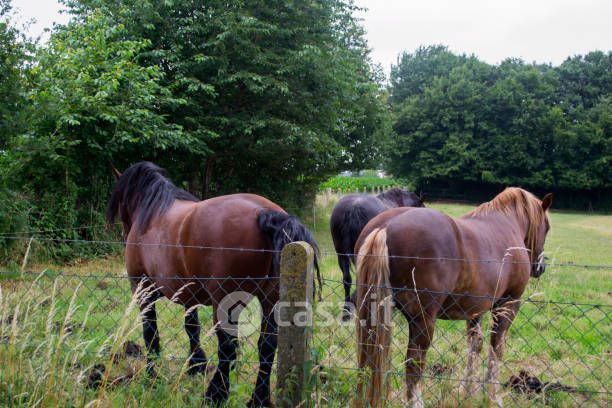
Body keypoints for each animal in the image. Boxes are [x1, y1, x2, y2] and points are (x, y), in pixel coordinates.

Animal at [107, 161, 318, 406]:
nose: (124, 234)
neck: (151, 215)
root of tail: (264, 213)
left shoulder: (143, 291)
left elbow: (151, 333)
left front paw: (153, 375)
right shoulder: (188, 296)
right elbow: (192, 328)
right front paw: (196, 365)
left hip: (226, 304)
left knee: (228, 348)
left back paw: (215, 394)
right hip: (270, 300)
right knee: (266, 346)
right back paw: (259, 398)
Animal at [352, 188, 552, 408]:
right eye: (547, 228)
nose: (540, 267)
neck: (508, 225)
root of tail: (385, 227)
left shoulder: (475, 310)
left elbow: (475, 345)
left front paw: (468, 391)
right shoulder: (508, 304)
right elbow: (496, 349)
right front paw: (492, 396)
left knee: (367, 356)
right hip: (422, 320)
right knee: (414, 364)